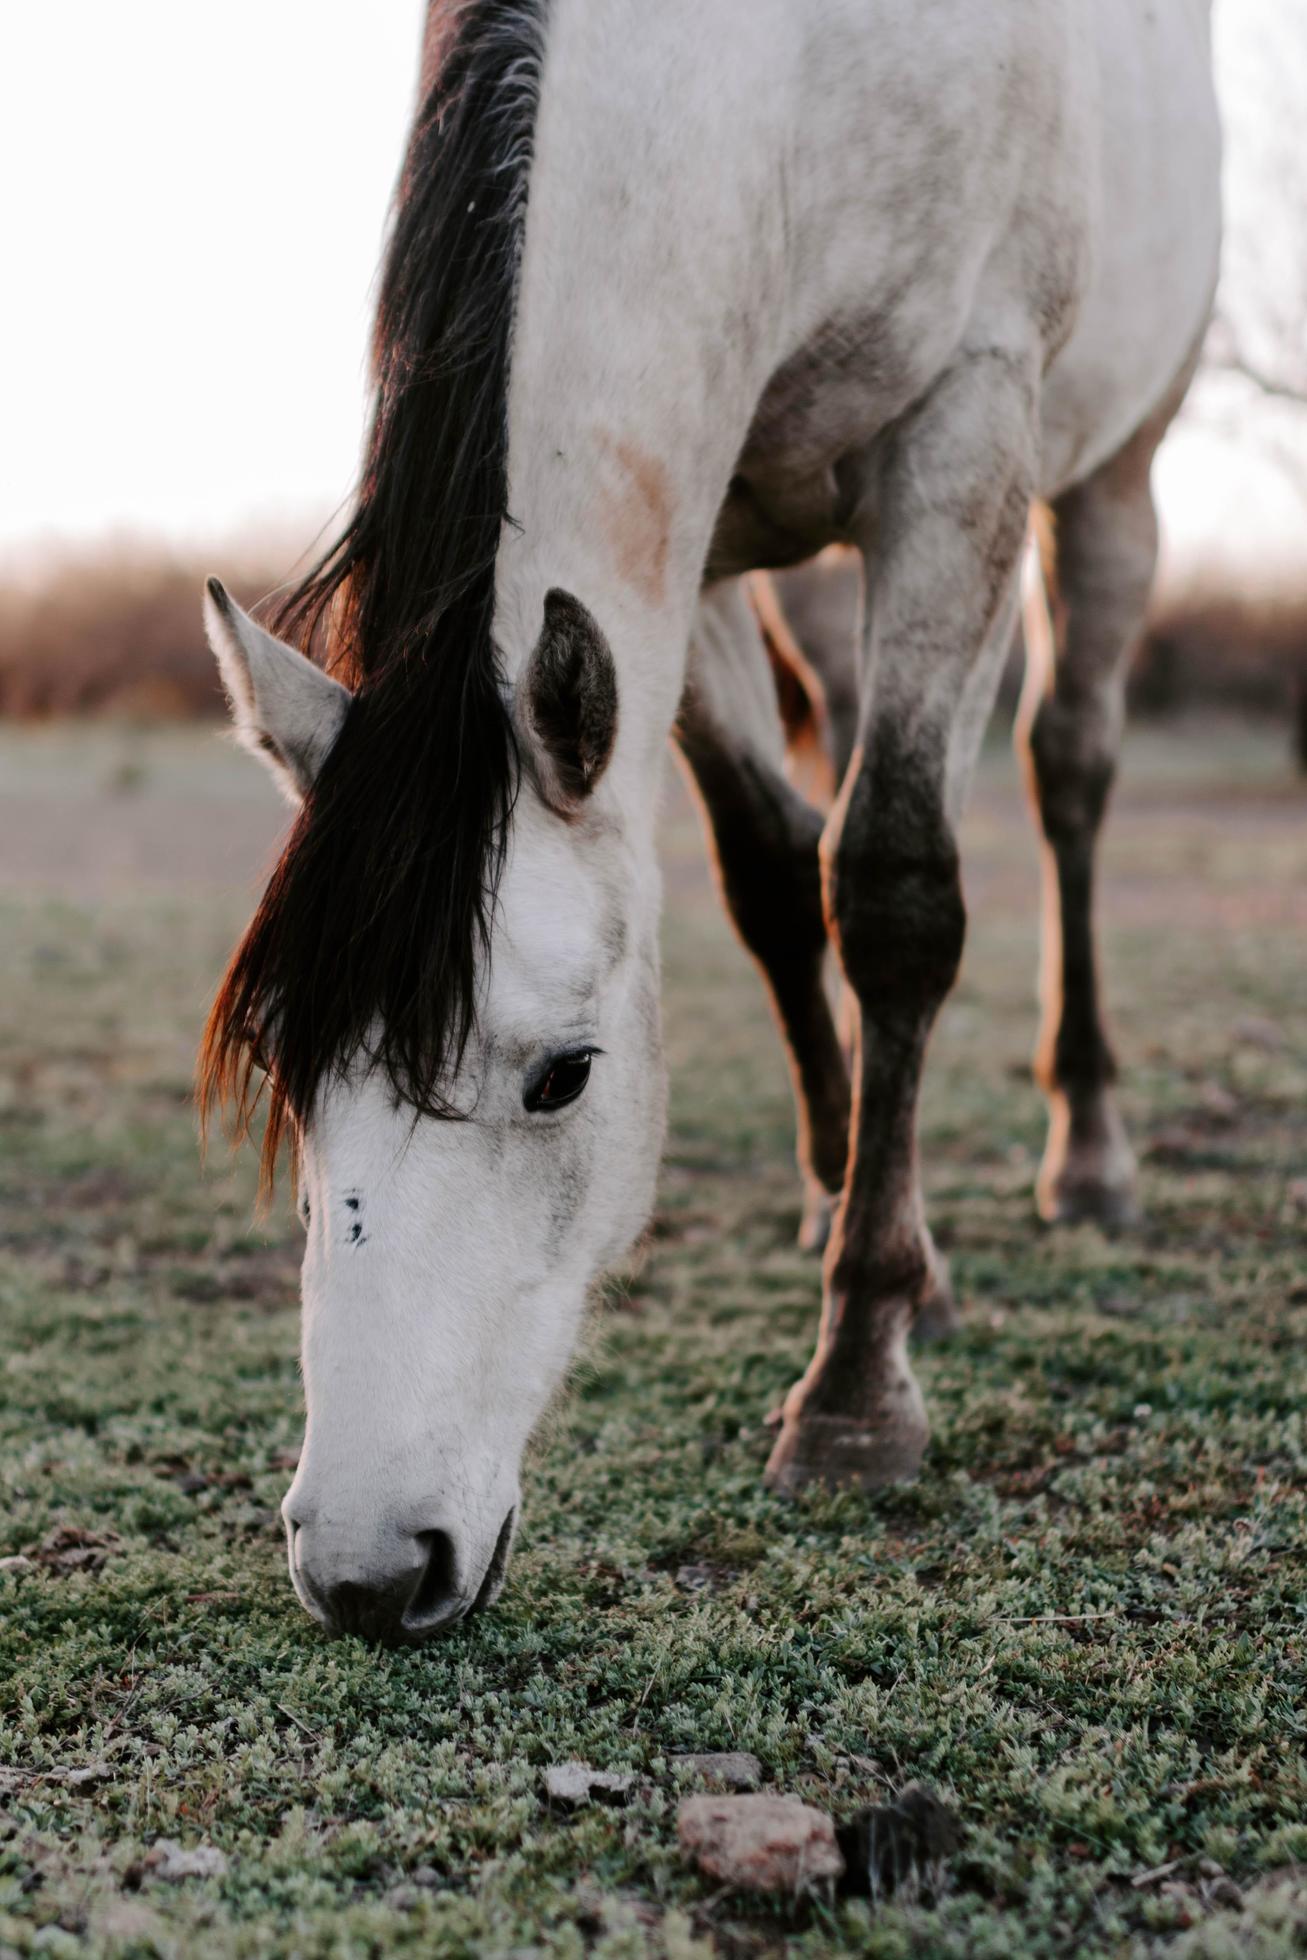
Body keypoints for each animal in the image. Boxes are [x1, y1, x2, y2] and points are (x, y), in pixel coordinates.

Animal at [199, 0, 1222, 1638]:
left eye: (563, 1076)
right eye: (290, 1068)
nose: (363, 1571)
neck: (783, 75)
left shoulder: (963, 433)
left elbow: (892, 890)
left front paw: (857, 1385)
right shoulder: (691, 544)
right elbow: (766, 876)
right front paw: (870, 1240)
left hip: (1111, 468)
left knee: (1064, 772)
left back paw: (1085, 1151)